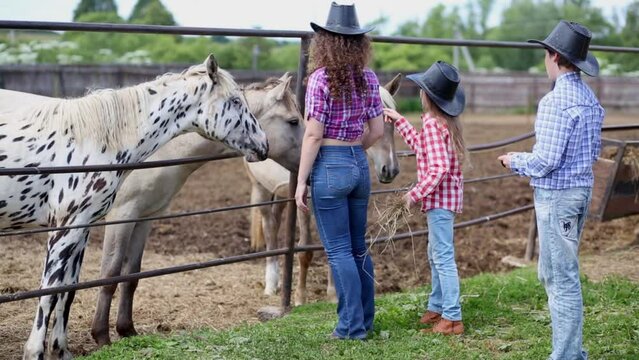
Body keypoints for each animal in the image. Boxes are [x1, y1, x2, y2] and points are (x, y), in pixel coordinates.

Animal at [0, 54, 268, 360]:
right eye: (235, 101)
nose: (264, 146)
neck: (95, 140)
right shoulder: (65, 228)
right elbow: (50, 291)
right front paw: (35, 351)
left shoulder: (82, 228)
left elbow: (69, 289)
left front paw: (61, 351)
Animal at [248, 73, 402, 304]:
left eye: (393, 122)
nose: (389, 170)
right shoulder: (303, 205)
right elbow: (305, 250)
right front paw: (300, 298)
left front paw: (333, 294)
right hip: (261, 191)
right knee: (269, 228)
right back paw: (271, 284)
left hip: (280, 196)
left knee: (275, 221)